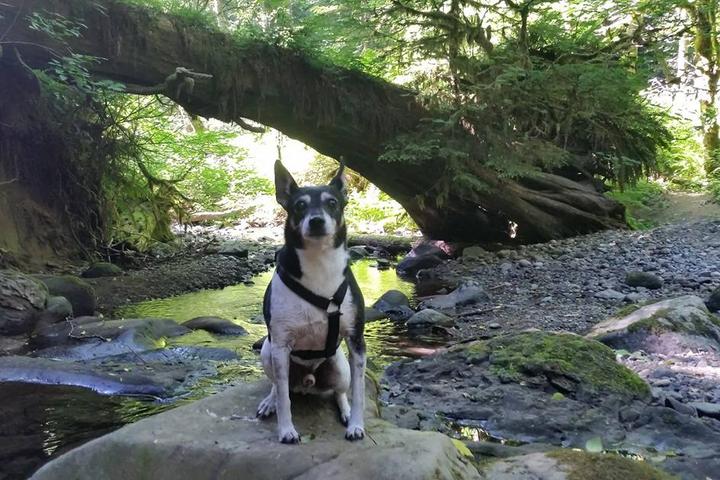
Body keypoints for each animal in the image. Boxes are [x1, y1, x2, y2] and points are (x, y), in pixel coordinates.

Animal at [257, 159, 366, 444]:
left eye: (332, 203)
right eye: (300, 205)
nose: (316, 221)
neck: (319, 264)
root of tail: (307, 381)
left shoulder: (356, 341)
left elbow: (359, 393)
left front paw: (357, 425)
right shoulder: (280, 346)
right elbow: (284, 399)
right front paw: (286, 430)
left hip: (340, 366)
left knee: (340, 391)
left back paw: (346, 412)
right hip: (267, 352)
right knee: (277, 385)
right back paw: (269, 401)